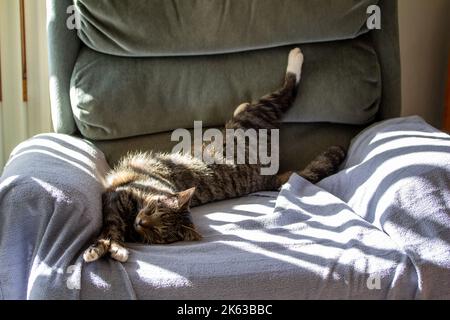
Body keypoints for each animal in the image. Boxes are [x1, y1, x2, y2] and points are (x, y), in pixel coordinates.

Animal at [83, 48, 344, 262]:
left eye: (157, 230)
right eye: (154, 209)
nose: (140, 222)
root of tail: (265, 177)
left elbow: (113, 228)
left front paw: (114, 248)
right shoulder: (117, 196)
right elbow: (112, 226)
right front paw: (106, 246)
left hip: (254, 118)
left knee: (284, 93)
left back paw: (294, 59)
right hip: (249, 120)